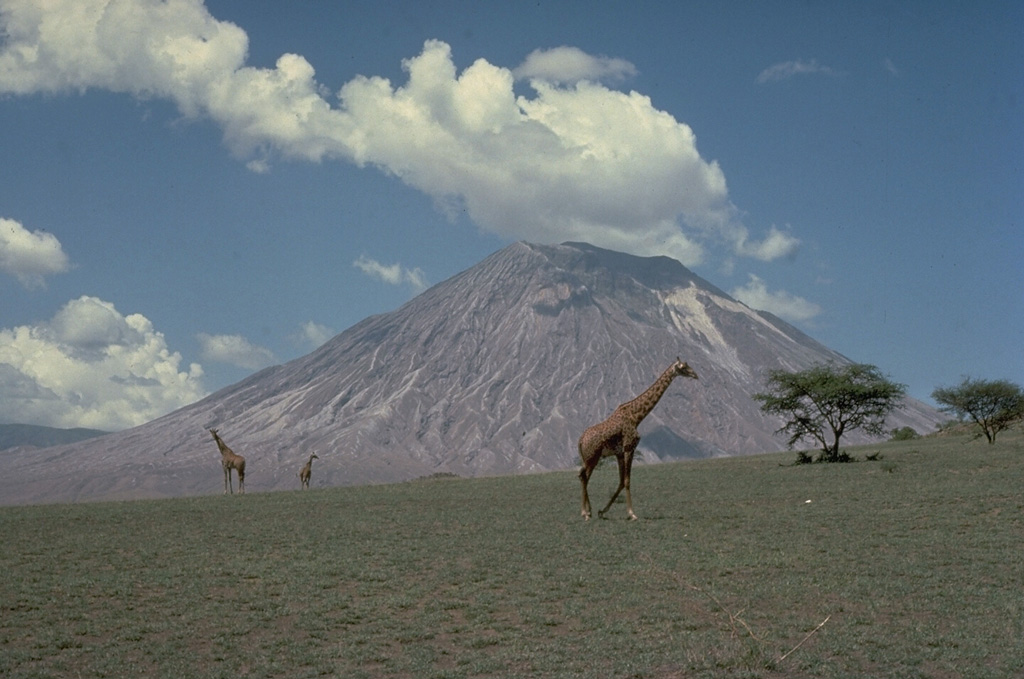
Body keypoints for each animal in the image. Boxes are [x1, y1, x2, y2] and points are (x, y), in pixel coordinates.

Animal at [581, 358, 700, 522]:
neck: (636, 417)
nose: (695, 375)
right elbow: (627, 480)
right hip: (592, 457)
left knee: (582, 476)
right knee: (584, 477)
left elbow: (621, 481)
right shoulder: (629, 448)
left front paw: (602, 511)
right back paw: (585, 513)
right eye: (683, 367)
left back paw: (589, 511)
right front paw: (632, 513)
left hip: (590, 458)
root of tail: (580, 440)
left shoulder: (620, 453)